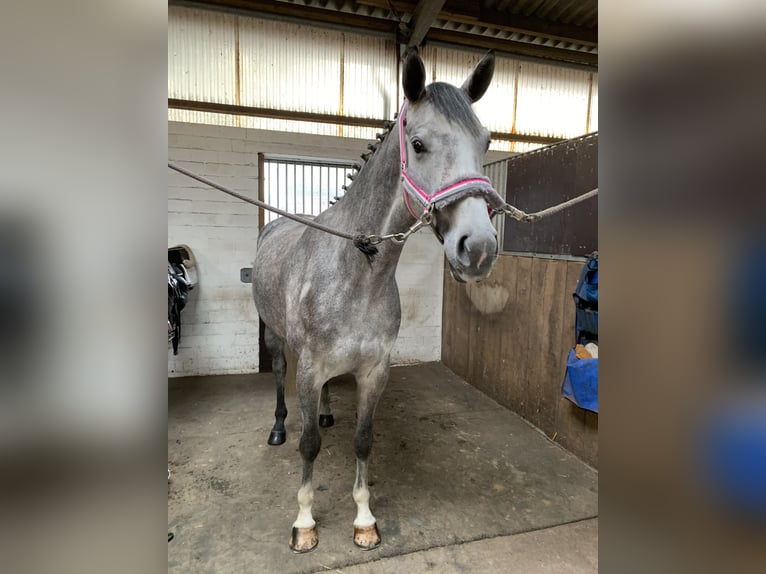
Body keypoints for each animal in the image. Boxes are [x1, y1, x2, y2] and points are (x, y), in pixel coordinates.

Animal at [254, 48, 504, 552]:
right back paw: (277, 427)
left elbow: (364, 439)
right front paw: (305, 523)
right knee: (278, 377)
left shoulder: (374, 371)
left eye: (485, 142)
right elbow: (309, 444)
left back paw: (327, 412)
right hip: (274, 338)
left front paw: (364, 519)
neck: (357, 274)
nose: (479, 248)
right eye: (419, 144)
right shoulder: (308, 368)